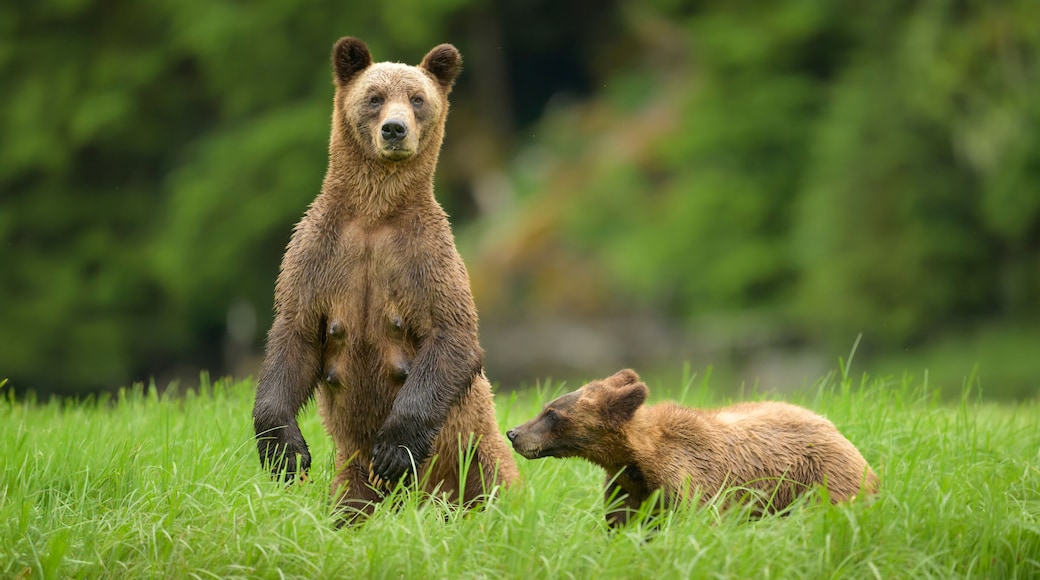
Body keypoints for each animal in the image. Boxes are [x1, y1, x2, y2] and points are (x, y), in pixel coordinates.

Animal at [252, 36, 518, 523]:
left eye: (417, 98)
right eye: (374, 97)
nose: (395, 129)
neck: (374, 215)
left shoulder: (425, 258)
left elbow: (452, 335)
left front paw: (395, 448)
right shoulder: (317, 253)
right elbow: (294, 335)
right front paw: (285, 450)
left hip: (475, 453)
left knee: (494, 487)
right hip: (351, 473)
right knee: (352, 501)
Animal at [506, 369, 878, 527]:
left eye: (552, 413)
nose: (513, 433)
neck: (639, 460)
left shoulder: (691, 478)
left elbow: (697, 519)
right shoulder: (627, 486)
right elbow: (623, 523)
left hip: (823, 481)